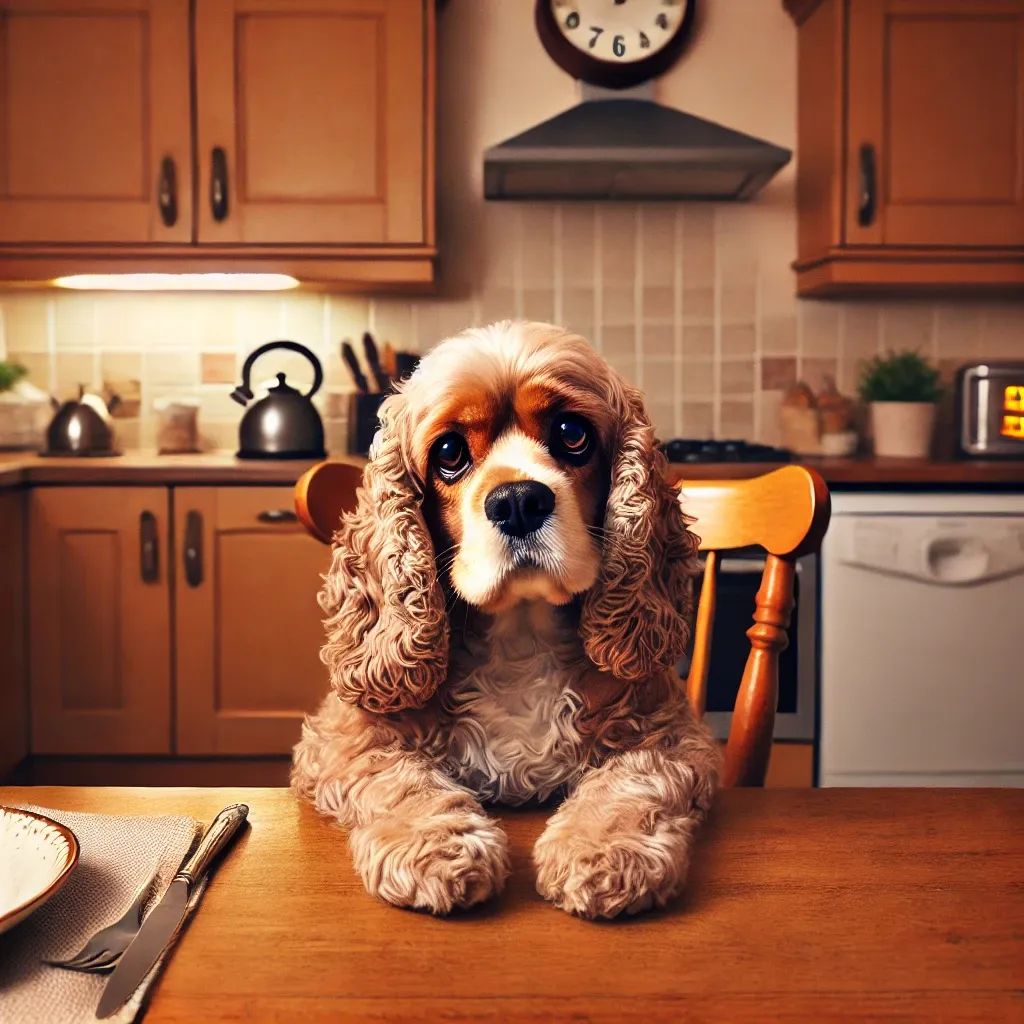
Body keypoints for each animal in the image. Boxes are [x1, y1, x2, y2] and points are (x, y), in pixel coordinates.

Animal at [288, 319, 720, 921]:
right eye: (448, 451)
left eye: (571, 432)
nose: (517, 501)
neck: (520, 637)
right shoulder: (342, 737)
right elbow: (399, 779)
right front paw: (438, 848)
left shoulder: (674, 734)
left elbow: (634, 781)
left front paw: (605, 850)